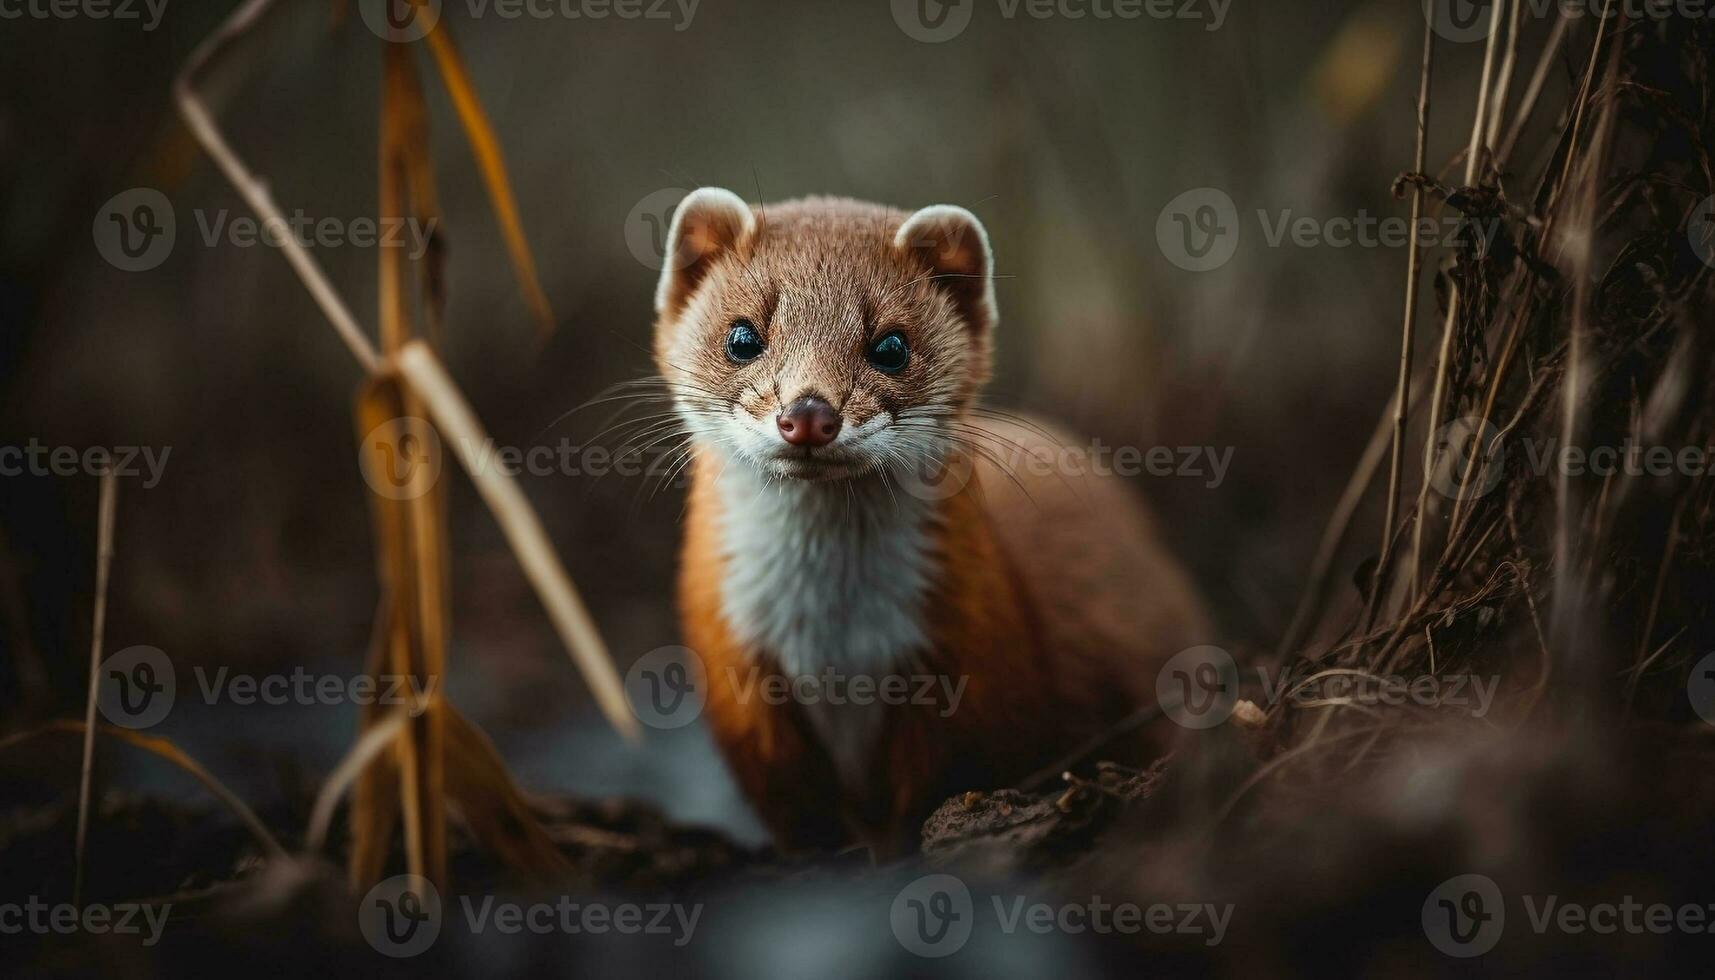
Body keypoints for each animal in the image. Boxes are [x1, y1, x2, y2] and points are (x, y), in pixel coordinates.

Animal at [648, 189, 1214, 851]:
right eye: (742, 336)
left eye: (891, 346)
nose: (809, 412)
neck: (835, 641)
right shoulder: (743, 692)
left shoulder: (964, 664)